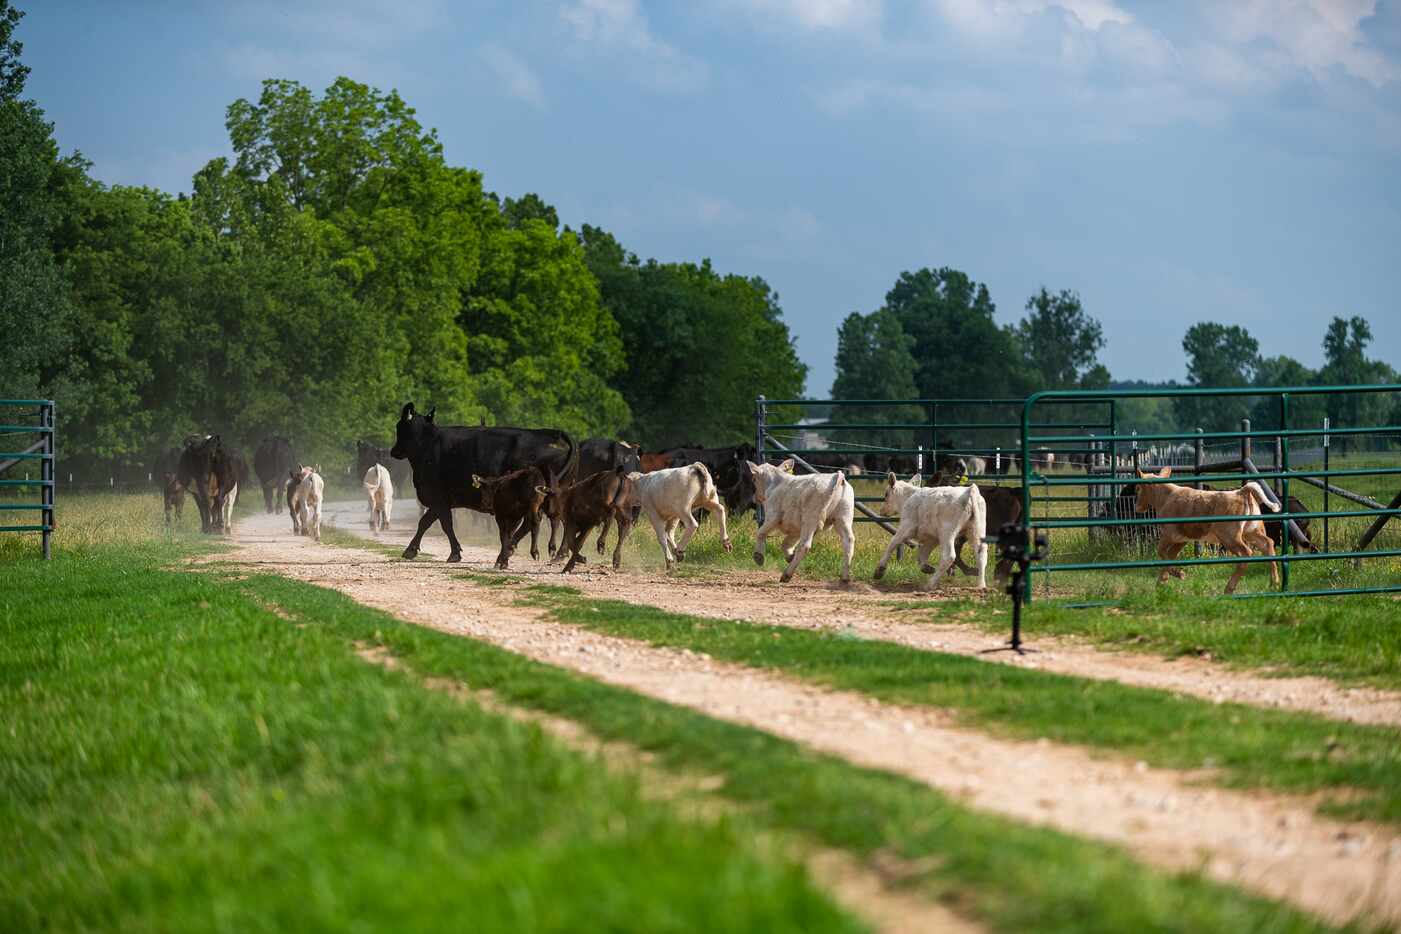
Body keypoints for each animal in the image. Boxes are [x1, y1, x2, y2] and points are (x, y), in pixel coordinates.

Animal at [389, 403, 574, 562]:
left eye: (399, 427)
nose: (393, 451)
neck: (427, 443)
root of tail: (551, 434)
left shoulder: (438, 498)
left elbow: (438, 524)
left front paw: (450, 553)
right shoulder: (443, 500)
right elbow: (429, 522)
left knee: (532, 521)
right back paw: (513, 549)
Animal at [1137, 470, 1283, 596]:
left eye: (1138, 488)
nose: (1137, 507)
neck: (1167, 497)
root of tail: (1241, 492)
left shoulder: (1168, 534)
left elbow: (1161, 552)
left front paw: (1178, 575)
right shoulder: (1181, 539)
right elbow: (1169, 557)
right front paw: (1161, 584)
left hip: (1230, 536)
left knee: (1246, 553)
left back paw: (1229, 588)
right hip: (1252, 531)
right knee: (1267, 544)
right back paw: (1274, 583)